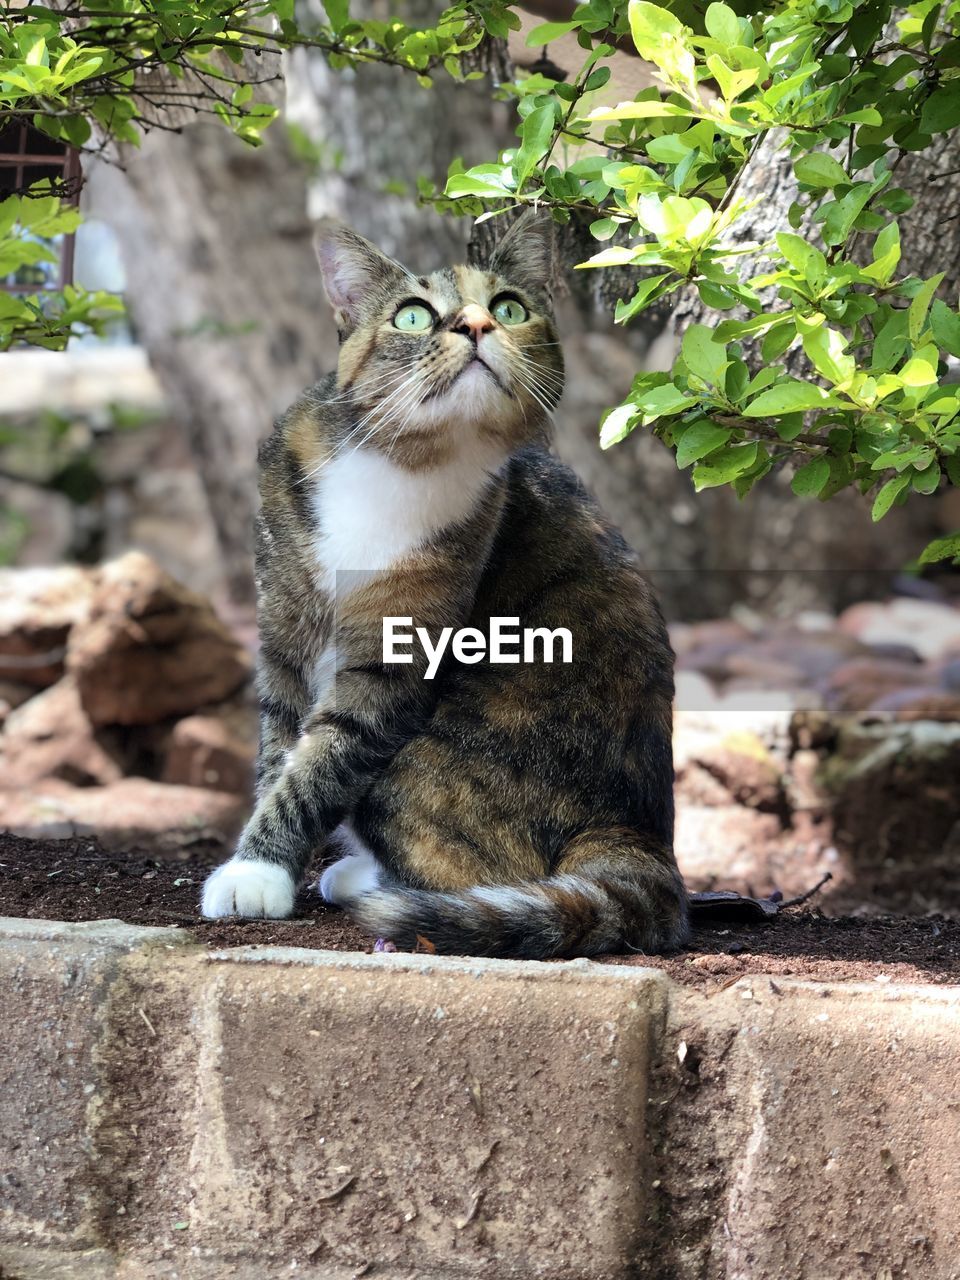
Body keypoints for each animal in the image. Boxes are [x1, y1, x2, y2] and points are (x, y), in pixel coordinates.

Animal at [199, 209, 686, 957]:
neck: (404, 464)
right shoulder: (283, 626)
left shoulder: (394, 659)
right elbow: (280, 747)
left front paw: (254, 874)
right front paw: (261, 866)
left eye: (509, 307)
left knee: (484, 869)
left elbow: (321, 761)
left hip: (422, 767)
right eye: (412, 315)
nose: (478, 324)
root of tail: (637, 832)